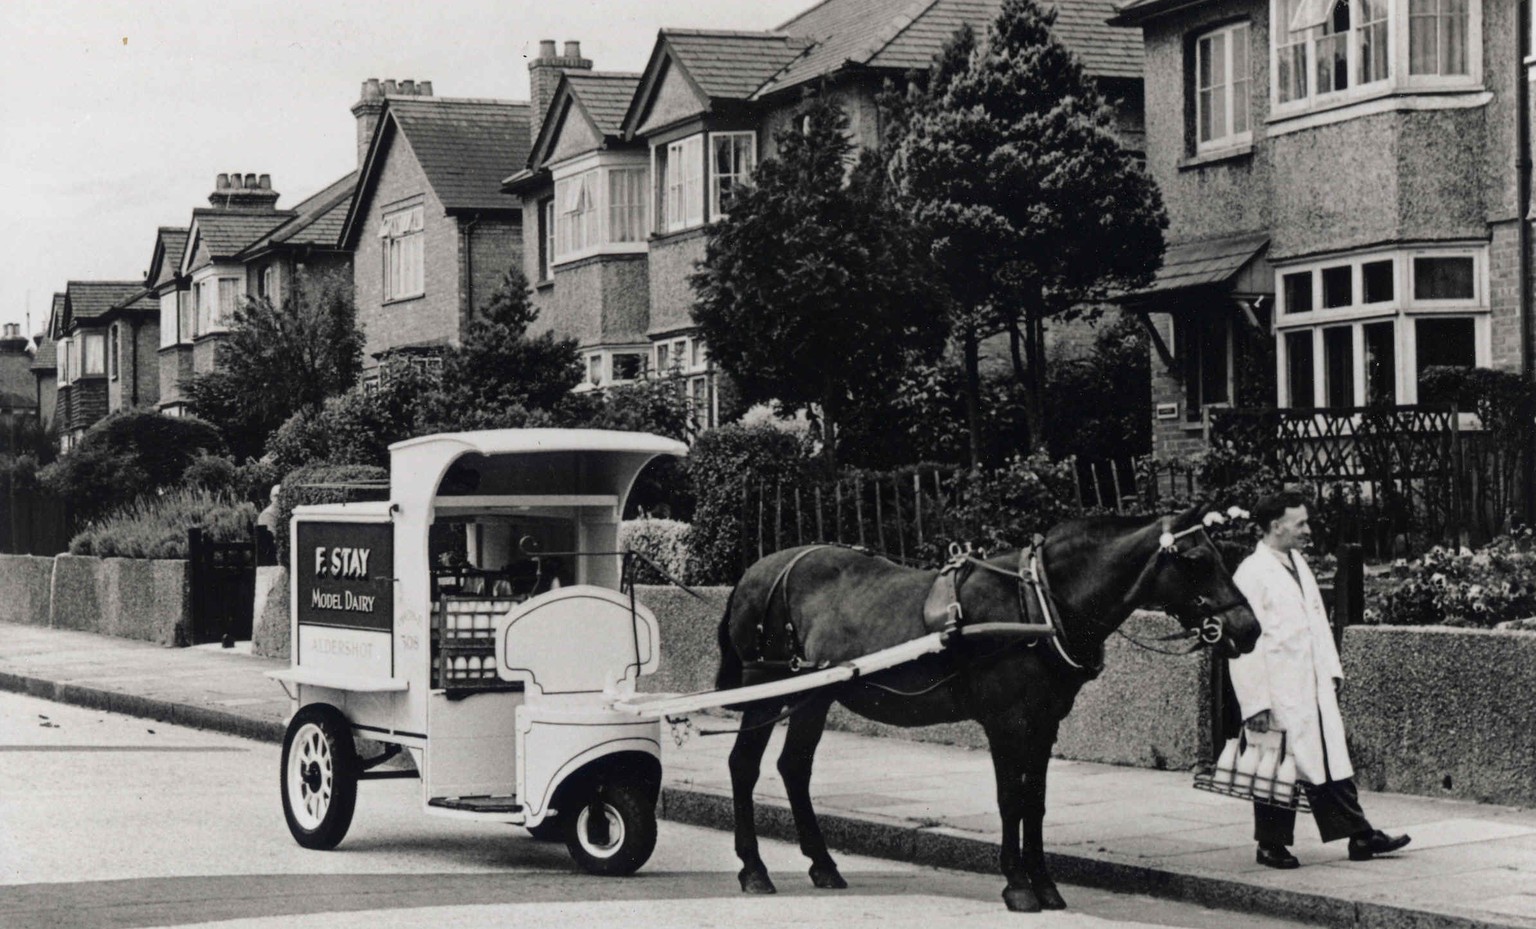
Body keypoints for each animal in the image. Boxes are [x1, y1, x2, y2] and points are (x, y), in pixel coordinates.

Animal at [715, 503, 1259, 909]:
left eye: (1222, 554)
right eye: (1195, 559)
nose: (1248, 628)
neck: (1038, 603)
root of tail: (756, 570)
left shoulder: (1043, 723)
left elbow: (1035, 801)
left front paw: (1045, 883)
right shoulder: (1006, 721)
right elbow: (1009, 799)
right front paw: (1017, 884)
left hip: (814, 694)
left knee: (794, 767)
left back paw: (823, 864)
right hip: (764, 687)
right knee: (743, 765)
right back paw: (754, 868)